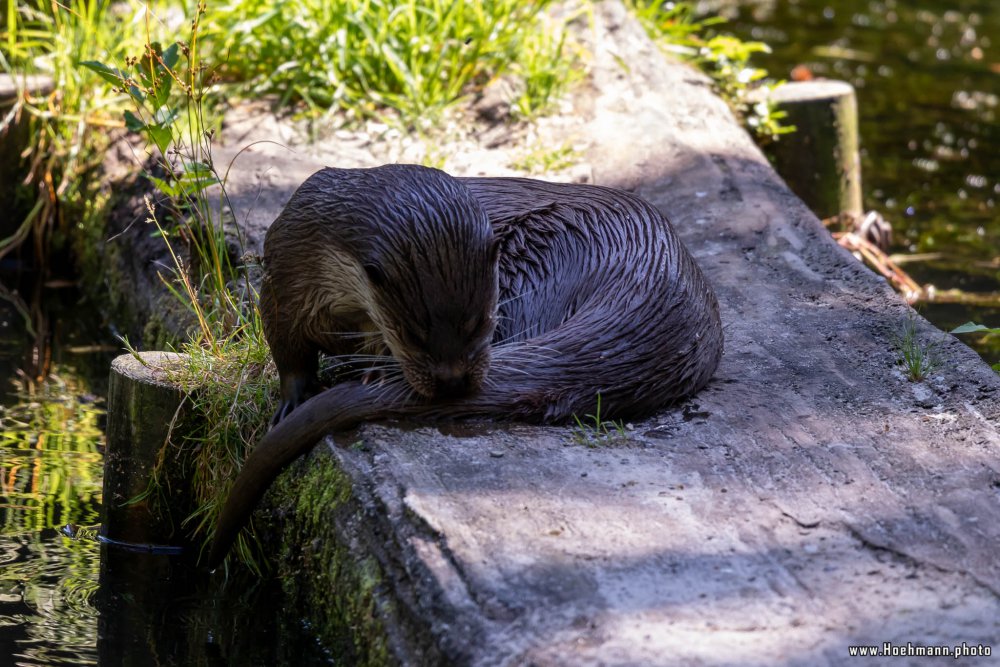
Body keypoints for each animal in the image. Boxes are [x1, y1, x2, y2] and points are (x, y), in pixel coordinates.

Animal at [207, 164, 724, 568]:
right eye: (414, 334)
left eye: (481, 319)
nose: (453, 380)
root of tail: (651, 263)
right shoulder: (283, 282)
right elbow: (287, 351)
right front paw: (292, 399)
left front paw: (373, 372)